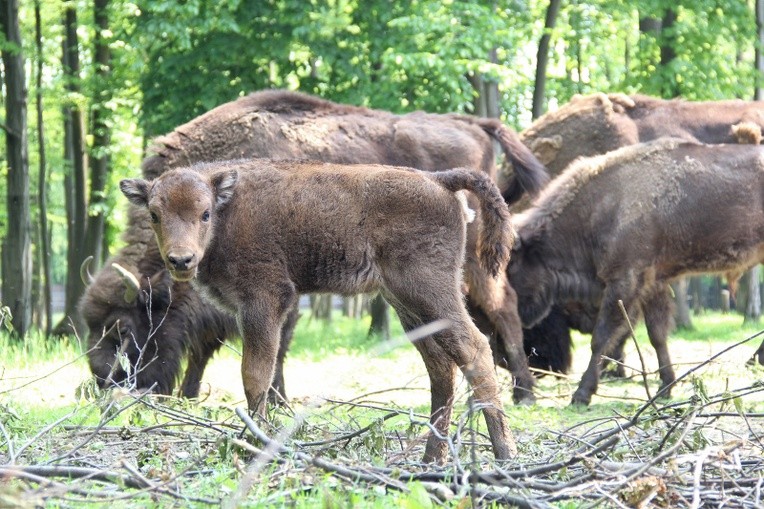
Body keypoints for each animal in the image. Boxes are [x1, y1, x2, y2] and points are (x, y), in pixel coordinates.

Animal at [83, 89, 548, 402]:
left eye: (123, 328)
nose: (102, 382)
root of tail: (472, 123)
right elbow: (212, 343)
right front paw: (191, 393)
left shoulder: (276, 290)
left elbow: (270, 349)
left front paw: (275, 400)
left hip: (469, 263)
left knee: (503, 306)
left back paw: (524, 392)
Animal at [122, 160, 516, 464]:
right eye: (155, 214)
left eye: (204, 214)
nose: (181, 260)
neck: (227, 208)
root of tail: (439, 180)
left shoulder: (265, 301)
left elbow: (256, 374)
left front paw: (254, 443)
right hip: (407, 305)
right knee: (441, 368)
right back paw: (433, 458)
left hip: (430, 293)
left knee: (474, 349)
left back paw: (504, 454)